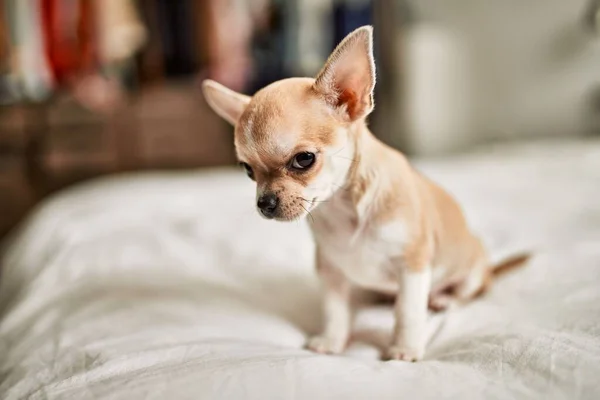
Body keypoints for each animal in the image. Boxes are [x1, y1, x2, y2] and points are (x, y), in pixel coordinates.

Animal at [203, 25, 528, 362]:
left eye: (304, 159)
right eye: (248, 171)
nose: (264, 203)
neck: (342, 207)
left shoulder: (412, 265)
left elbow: (408, 311)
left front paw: (404, 349)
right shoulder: (331, 270)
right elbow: (335, 310)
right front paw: (332, 341)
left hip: (471, 273)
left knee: (467, 293)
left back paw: (443, 300)